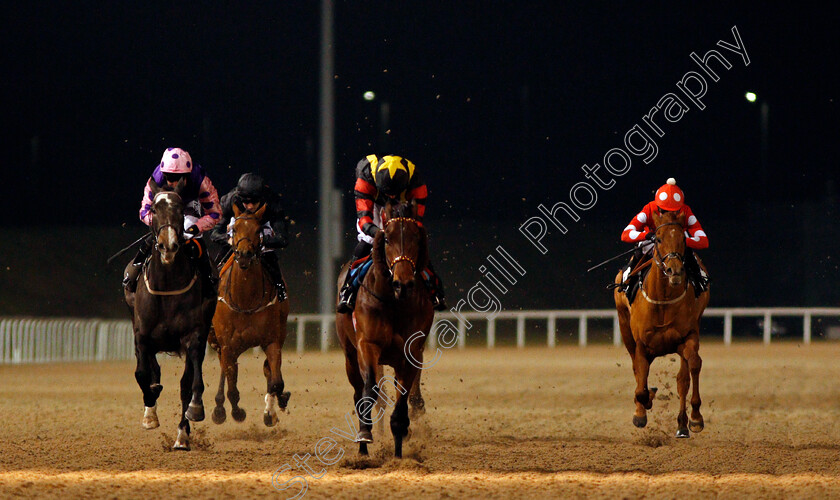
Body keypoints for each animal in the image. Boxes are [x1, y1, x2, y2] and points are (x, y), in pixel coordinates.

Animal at [124, 179, 218, 450]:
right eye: (154, 209)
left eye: (179, 210)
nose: (168, 245)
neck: (167, 284)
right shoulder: (142, 335)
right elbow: (142, 374)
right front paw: (150, 414)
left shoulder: (193, 336)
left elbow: (190, 383)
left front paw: (193, 413)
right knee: (149, 368)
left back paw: (182, 436)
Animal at [208, 202, 290, 426]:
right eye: (235, 229)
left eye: (258, 229)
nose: (244, 254)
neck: (246, 300)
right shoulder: (227, 344)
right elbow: (231, 385)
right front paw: (232, 411)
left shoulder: (272, 341)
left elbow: (276, 381)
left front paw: (272, 410)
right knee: (226, 371)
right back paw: (221, 408)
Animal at [334, 200, 434, 458]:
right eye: (387, 239)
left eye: (416, 237)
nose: (403, 283)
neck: (394, 301)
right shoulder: (368, 345)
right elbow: (370, 389)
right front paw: (364, 436)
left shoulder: (412, 351)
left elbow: (403, 396)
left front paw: (399, 447)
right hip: (350, 355)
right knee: (360, 391)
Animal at [612, 210, 712, 438]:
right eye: (657, 239)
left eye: (683, 239)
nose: (675, 271)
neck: (663, 300)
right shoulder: (641, 343)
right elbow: (640, 379)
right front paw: (641, 412)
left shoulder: (687, 337)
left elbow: (693, 367)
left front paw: (695, 418)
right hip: (624, 327)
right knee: (637, 369)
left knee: (683, 379)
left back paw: (682, 425)